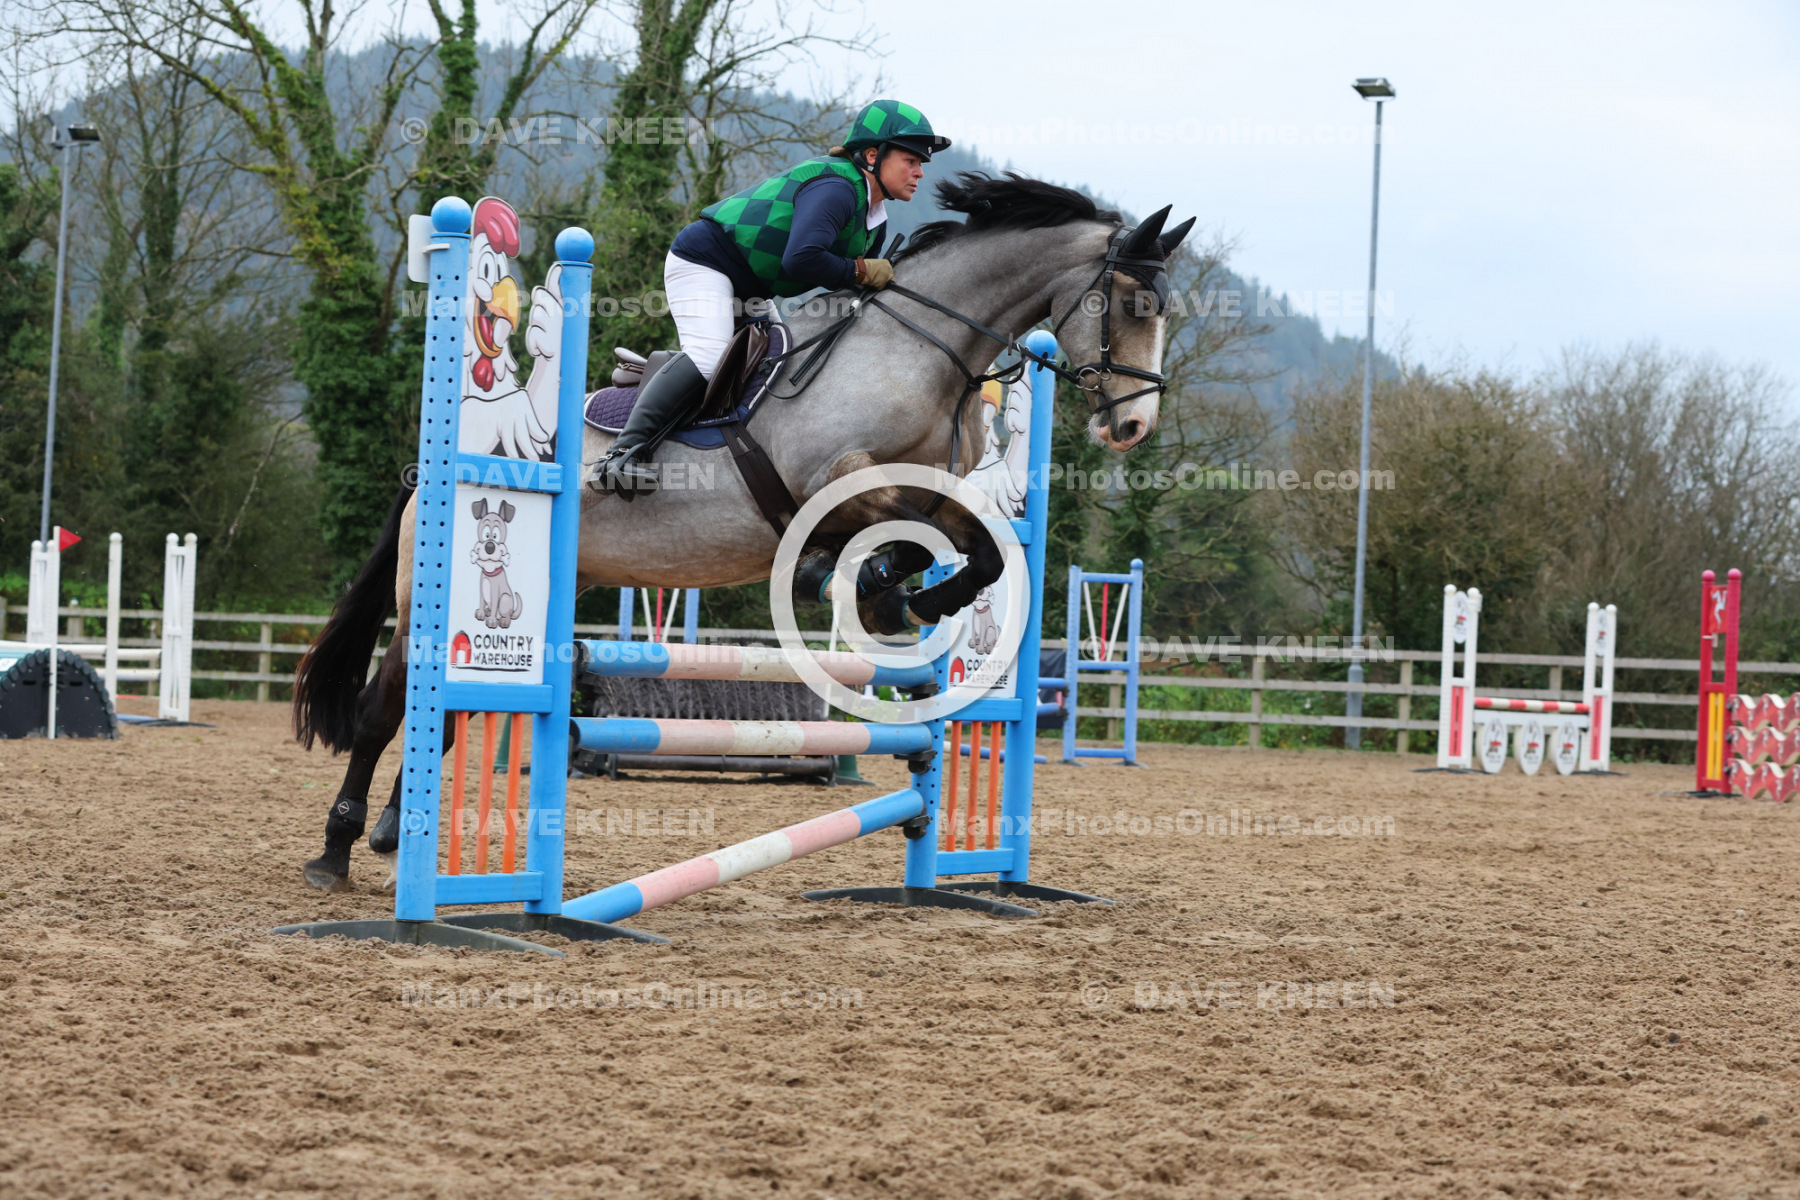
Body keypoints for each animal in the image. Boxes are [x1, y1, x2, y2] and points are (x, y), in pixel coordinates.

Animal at [469, 498, 523, 628]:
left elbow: (494, 606)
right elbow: (481, 602)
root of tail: (512, 611)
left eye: (496, 535)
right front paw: (481, 612)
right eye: (486, 534)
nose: (490, 547)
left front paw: (492, 621)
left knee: (506, 615)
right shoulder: (482, 589)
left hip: (505, 598)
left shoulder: (495, 592)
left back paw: (503, 621)